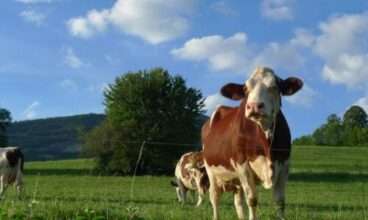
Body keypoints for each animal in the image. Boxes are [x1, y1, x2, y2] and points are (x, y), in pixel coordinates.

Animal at [201, 67, 302, 220]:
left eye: (274, 86)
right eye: (245, 88)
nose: (254, 106)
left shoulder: (284, 164)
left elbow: (280, 202)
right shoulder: (242, 165)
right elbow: (252, 200)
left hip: (236, 181)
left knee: (238, 202)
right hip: (211, 171)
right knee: (215, 198)